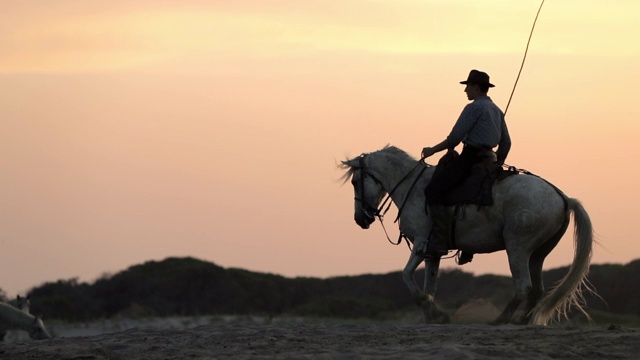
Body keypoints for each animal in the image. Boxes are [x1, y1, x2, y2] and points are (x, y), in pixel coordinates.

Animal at [340, 145, 596, 324]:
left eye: (355, 182)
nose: (360, 219)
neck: (414, 187)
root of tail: (563, 197)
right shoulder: (433, 252)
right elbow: (430, 286)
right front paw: (434, 315)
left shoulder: (421, 244)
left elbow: (406, 276)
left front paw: (430, 310)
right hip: (538, 254)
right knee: (537, 290)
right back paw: (522, 320)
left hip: (518, 248)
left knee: (523, 286)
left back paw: (502, 319)